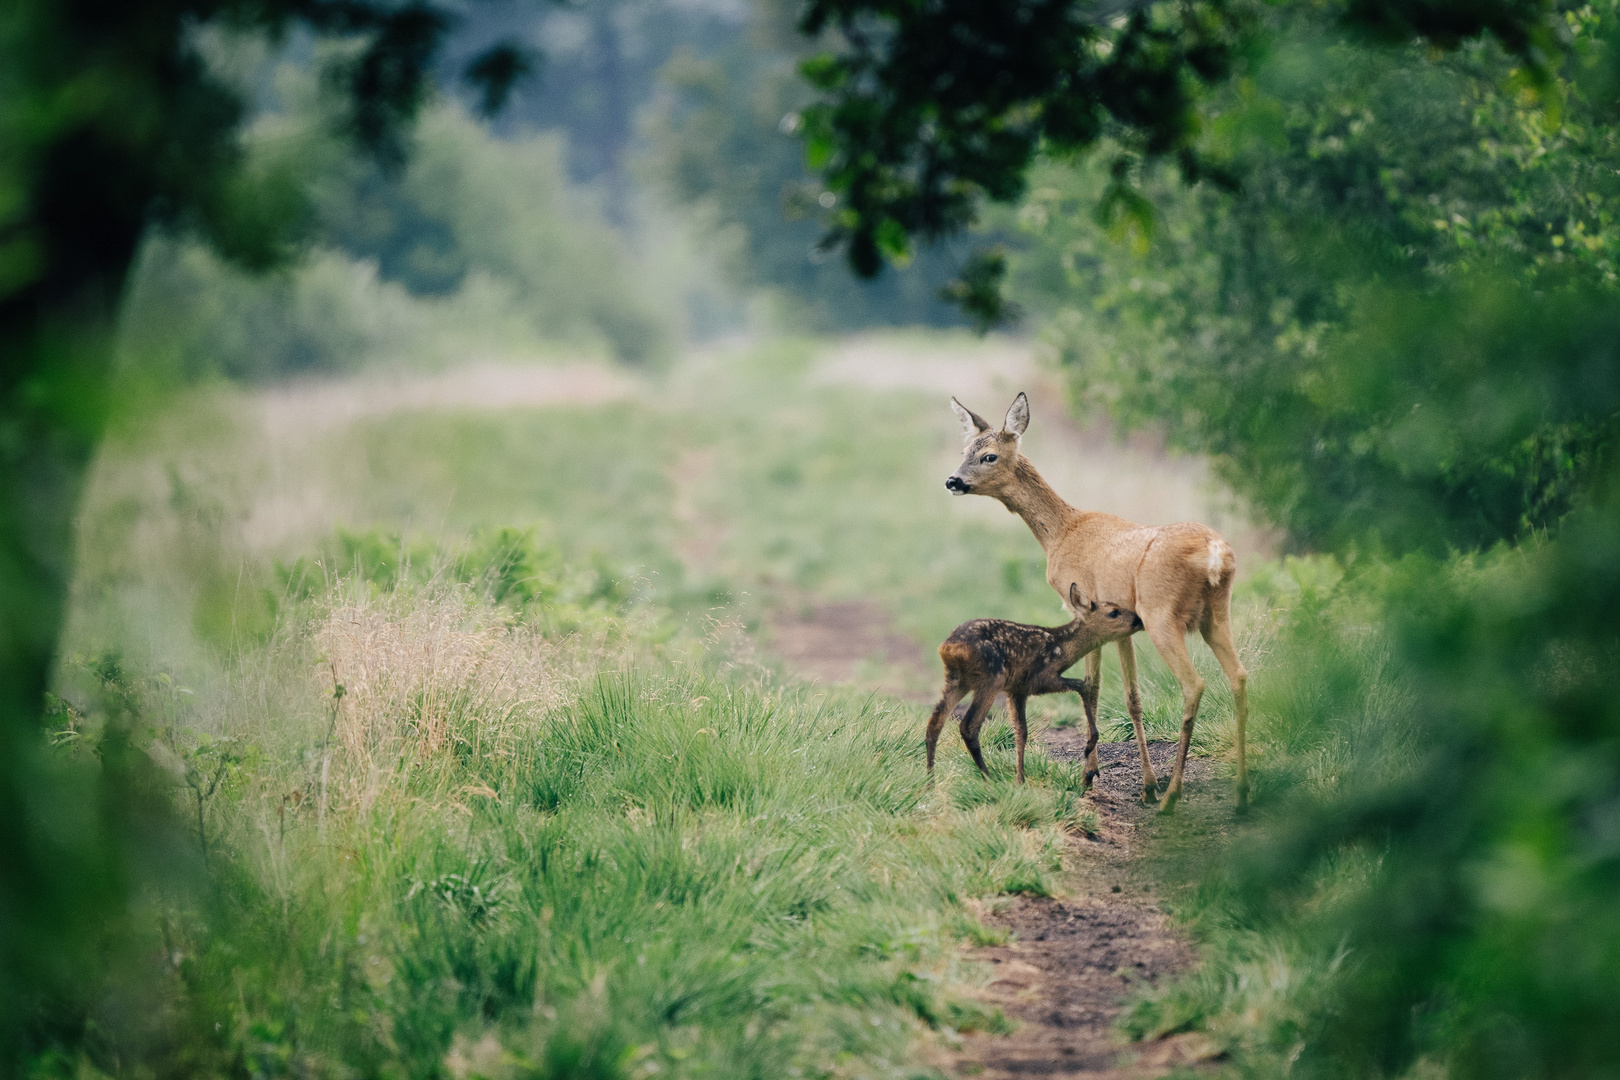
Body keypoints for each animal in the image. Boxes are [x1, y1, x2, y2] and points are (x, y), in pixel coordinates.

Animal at [926, 586, 1140, 780]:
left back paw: (930, 782)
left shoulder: (1017, 690)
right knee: (968, 726)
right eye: (1114, 612)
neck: (1061, 649)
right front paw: (1089, 745)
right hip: (992, 677)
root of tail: (949, 647)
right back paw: (989, 779)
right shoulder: (1039, 679)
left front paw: (1020, 780)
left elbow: (1021, 732)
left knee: (935, 722)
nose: (1138, 620)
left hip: (956, 680)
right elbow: (1082, 684)